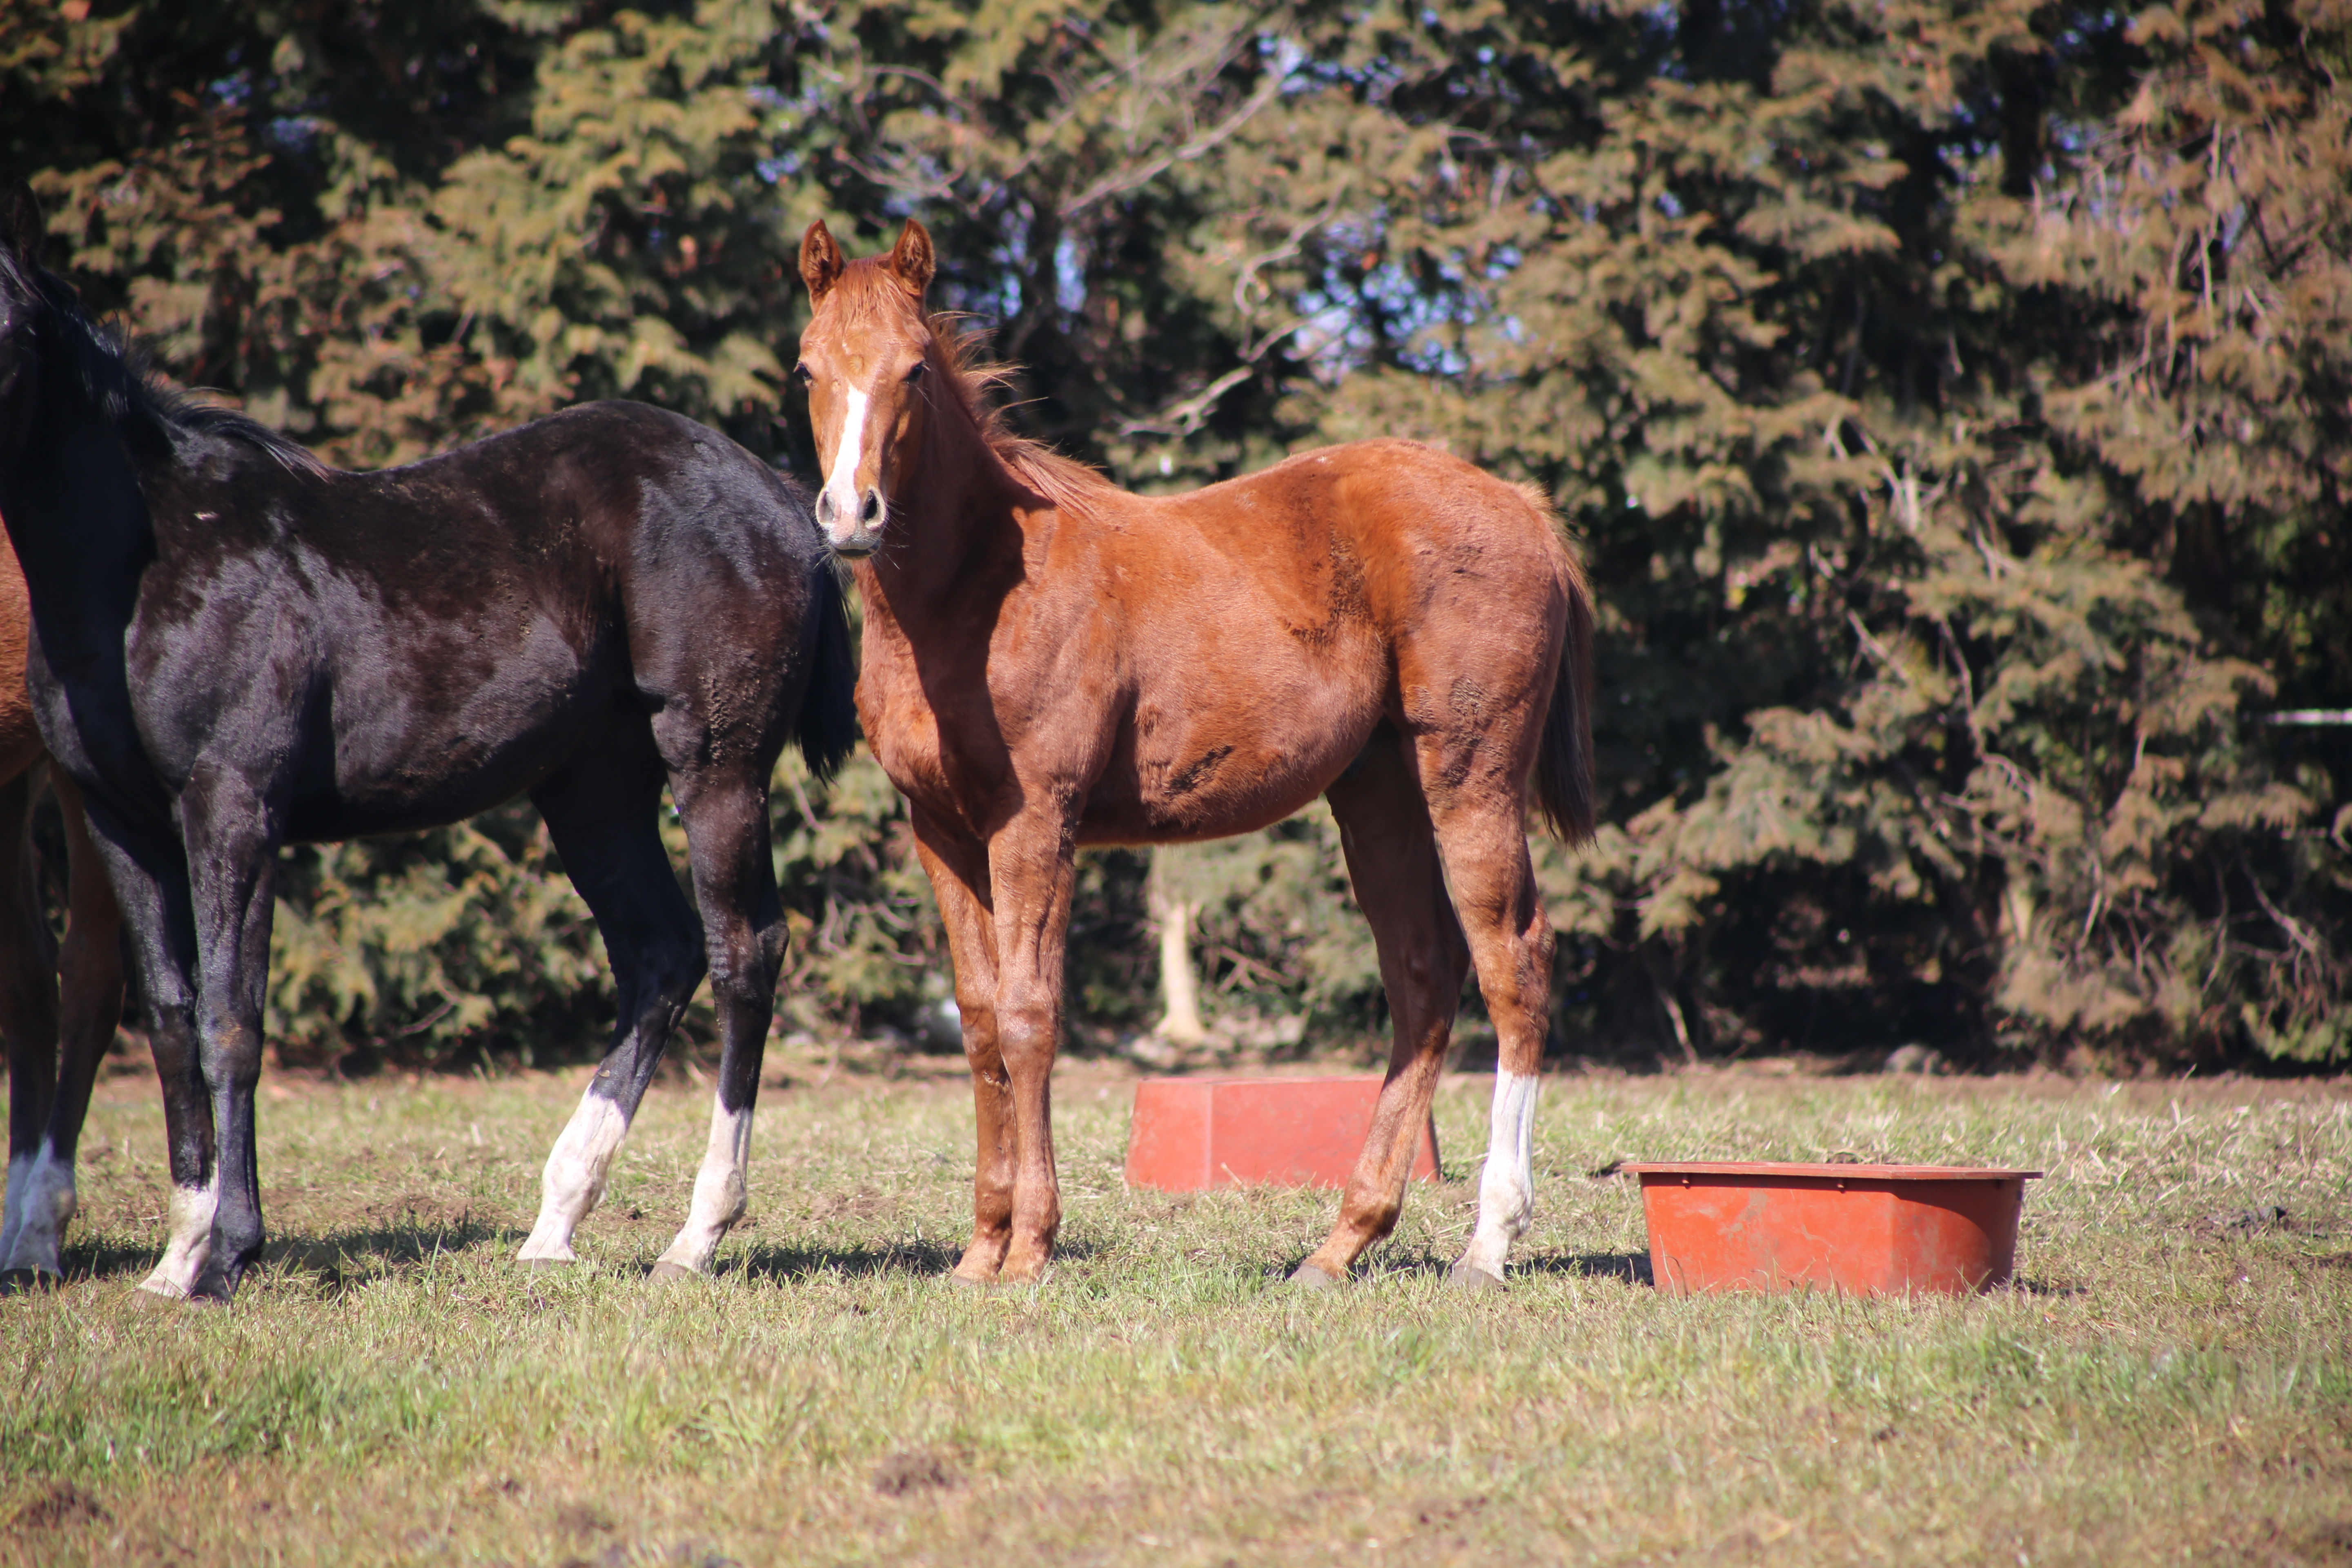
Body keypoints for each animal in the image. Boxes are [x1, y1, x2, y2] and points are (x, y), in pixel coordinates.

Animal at [0, 190, 861, 1297]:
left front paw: (230, 1250)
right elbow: (167, 1015)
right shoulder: (119, 818)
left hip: (716, 765)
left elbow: (233, 1020)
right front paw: (178, 1257)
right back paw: (555, 1222)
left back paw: (695, 1235)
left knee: (741, 951)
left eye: (14, 334)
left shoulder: (233, 807)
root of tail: (790, 502)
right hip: (591, 788)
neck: (148, 562)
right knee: (659, 953)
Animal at [795, 217, 1599, 1288]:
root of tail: (1523, 506)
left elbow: (1029, 1014)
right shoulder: (939, 828)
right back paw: (1340, 1243)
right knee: (1423, 975)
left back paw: (1488, 1242)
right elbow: (977, 1020)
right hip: (1376, 788)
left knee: (1512, 961)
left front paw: (1030, 1250)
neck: (979, 591)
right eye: (807, 368)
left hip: (1469, 773)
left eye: (915, 370)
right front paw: (979, 1252)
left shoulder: (1035, 820)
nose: (852, 515)